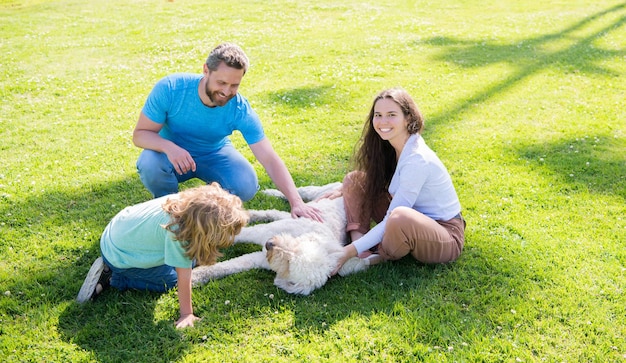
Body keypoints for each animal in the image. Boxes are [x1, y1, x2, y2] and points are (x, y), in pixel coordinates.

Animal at [188, 185, 368, 296]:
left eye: (289, 264)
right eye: (296, 246)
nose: (269, 244)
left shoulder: (259, 258)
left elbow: (227, 266)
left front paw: (196, 276)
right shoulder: (262, 232)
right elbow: (236, 235)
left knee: (275, 212)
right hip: (319, 192)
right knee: (298, 192)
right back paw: (271, 193)